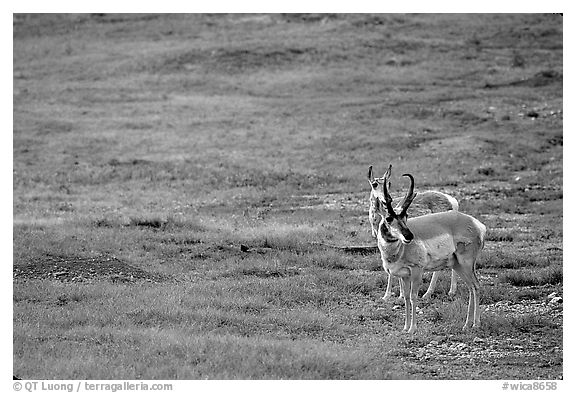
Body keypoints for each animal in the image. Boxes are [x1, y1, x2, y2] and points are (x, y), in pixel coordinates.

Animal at [368, 165, 460, 300]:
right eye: (374, 184)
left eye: (389, 183)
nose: (386, 199)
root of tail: (452, 200)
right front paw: (390, 295)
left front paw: (396, 295)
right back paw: (449, 291)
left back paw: (431, 293)